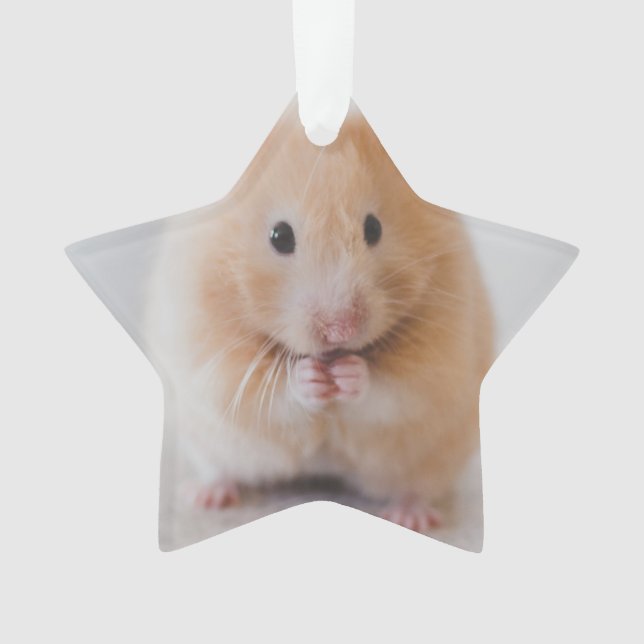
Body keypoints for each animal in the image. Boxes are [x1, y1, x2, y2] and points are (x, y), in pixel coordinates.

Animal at [146, 101, 493, 532]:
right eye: (280, 236)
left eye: (374, 228)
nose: (341, 329)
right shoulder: (211, 352)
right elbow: (267, 393)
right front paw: (310, 377)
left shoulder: (440, 356)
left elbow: (394, 390)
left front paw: (348, 374)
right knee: (221, 469)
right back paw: (205, 496)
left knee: (415, 486)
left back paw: (412, 516)